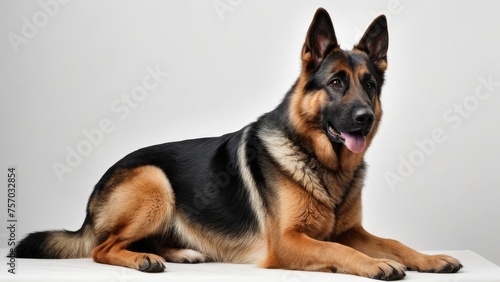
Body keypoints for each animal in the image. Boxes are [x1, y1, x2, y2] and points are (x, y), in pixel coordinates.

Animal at [15, 8, 460, 280]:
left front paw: (429, 258)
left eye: (369, 85)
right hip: (155, 181)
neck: (322, 164)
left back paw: (181, 253)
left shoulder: (351, 230)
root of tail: (90, 206)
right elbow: (343, 252)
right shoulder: (289, 243)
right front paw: (376, 264)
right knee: (103, 247)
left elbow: (393, 242)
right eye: (336, 83)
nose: (365, 118)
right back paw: (143, 259)